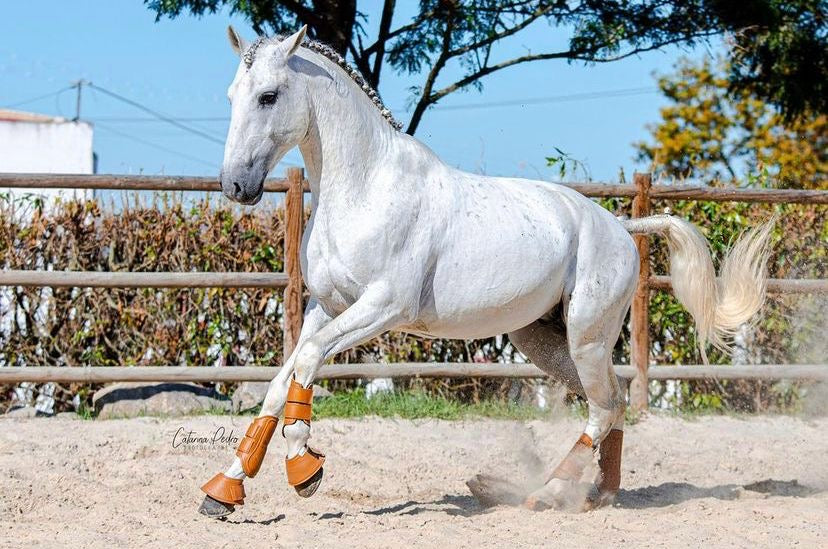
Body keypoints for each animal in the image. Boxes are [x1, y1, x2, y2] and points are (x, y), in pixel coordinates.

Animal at [198, 26, 773, 517]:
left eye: (268, 96)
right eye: (229, 96)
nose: (236, 186)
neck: (365, 187)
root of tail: (620, 227)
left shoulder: (383, 307)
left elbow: (307, 362)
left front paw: (305, 468)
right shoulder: (327, 307)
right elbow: (282, 380)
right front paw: (223, 491)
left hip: (587, 335)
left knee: (604, 406)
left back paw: (548, 494)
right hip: (542, 340)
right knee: (611, 405)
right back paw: (597, 496)